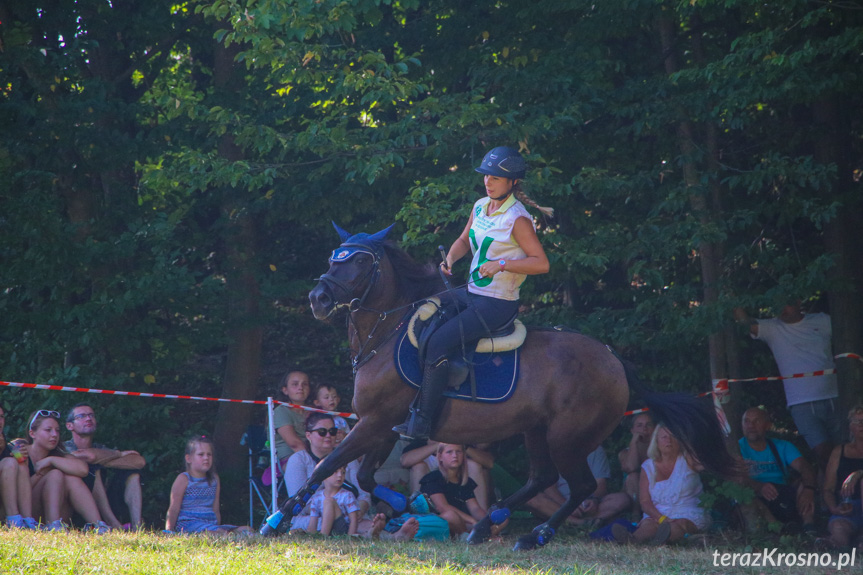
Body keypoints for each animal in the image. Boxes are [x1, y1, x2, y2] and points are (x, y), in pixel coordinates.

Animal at [264, 223, 736, 552]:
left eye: (360, 263)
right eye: (334, 257)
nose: (319, 299)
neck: (387, 332)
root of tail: (614, 359)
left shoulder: (377, 422)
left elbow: (327, 466)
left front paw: (276, 521)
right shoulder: (380, 425)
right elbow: (361, 474)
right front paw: (399, 507)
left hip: (568, 435)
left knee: (579, 485)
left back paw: (532, 536)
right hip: (537, 429)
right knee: (543, 477)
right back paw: (483, 526)